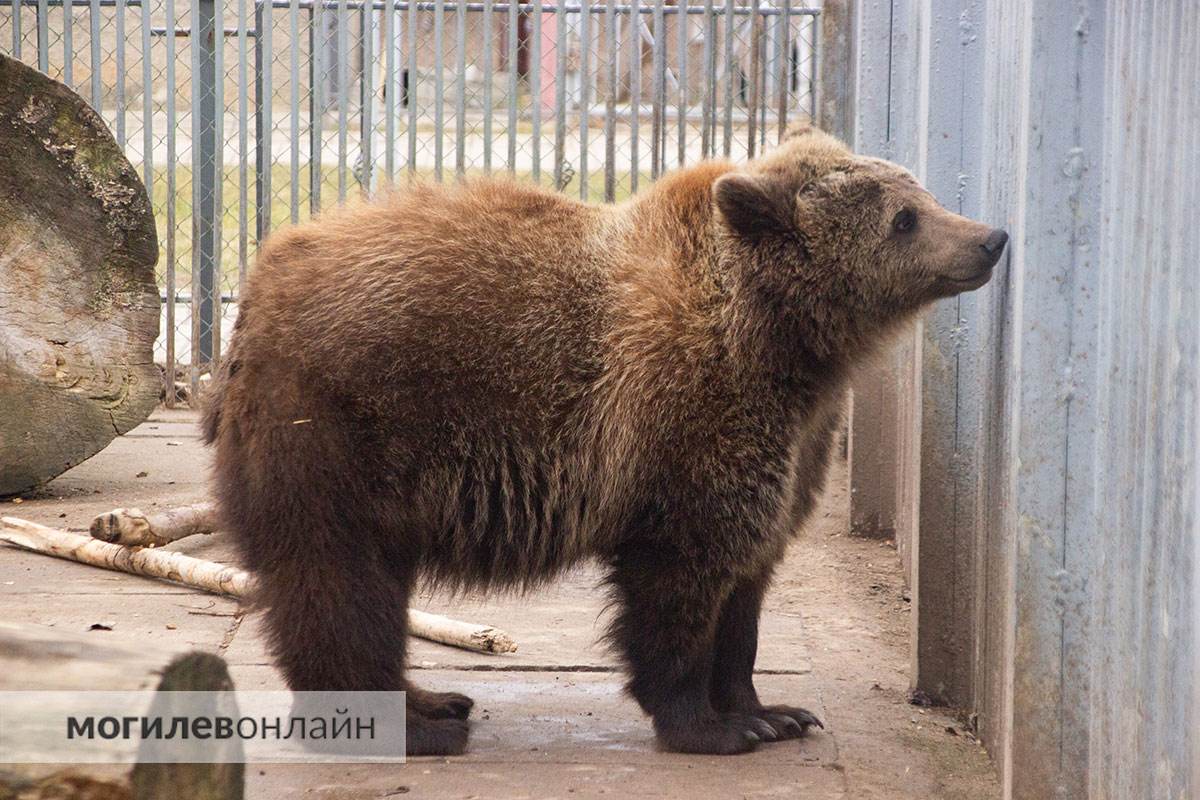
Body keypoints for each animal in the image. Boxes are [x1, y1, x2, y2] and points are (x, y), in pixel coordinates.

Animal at [204, 126, 1003, 758]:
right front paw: (710, 726)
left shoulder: (796, 439)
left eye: (920, 194)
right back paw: (415, 728)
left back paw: (435, 700)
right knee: (337, 580)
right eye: (904, 218)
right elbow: (679, 577)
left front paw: (772, 711)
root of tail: (256, 291)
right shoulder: (682, 419)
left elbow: (748, 581)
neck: (786, 340)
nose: (991, 237)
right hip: (336, 431)